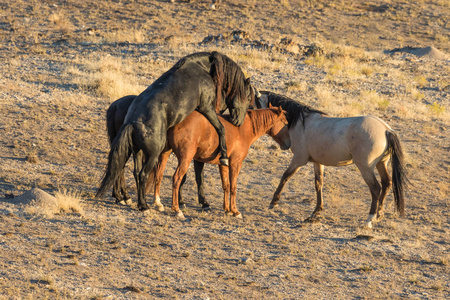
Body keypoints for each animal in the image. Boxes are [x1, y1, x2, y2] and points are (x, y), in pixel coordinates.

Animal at [96, 51, 253, 211]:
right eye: (248, 98)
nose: (238, 122)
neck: (201, 67)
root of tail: (132, 123)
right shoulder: (206, 107)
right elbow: (220, 129)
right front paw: (223, 156)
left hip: (136, 152)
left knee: (130, 171)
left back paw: (126, 198)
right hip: (152, 155)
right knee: (141, 175)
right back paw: (142, 205)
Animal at [149, 107, 290, 218]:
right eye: (285, 122)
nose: (288, 144)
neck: (243, 128)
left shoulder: (223, 165)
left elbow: (226, 186)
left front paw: (227, 209)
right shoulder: (235, 164)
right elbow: (233, 187)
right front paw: (235, 211)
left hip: (165, 154)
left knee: (158, 176)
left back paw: (158, 203)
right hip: (185, 159)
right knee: (177, 179)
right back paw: (177, 209)